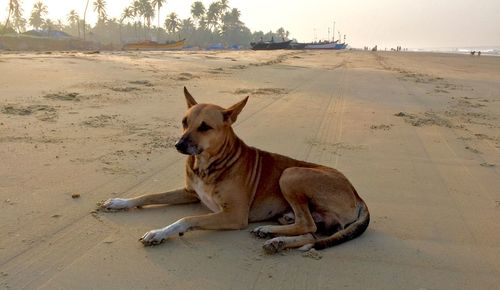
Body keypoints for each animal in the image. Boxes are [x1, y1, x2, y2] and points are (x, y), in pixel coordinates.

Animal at [99, 87, 370, 253]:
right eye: (184, 122)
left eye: (205, 127)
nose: (178, 145)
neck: (207, 164)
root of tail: (358, 195)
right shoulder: (189, 193)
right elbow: (148, 195)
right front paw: (119, 202)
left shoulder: (234, 215)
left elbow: (186, 219)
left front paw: (159, 232)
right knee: (312, 233)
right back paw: (277, 239)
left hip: (291, 174)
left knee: (308, 225)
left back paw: (271, 231)